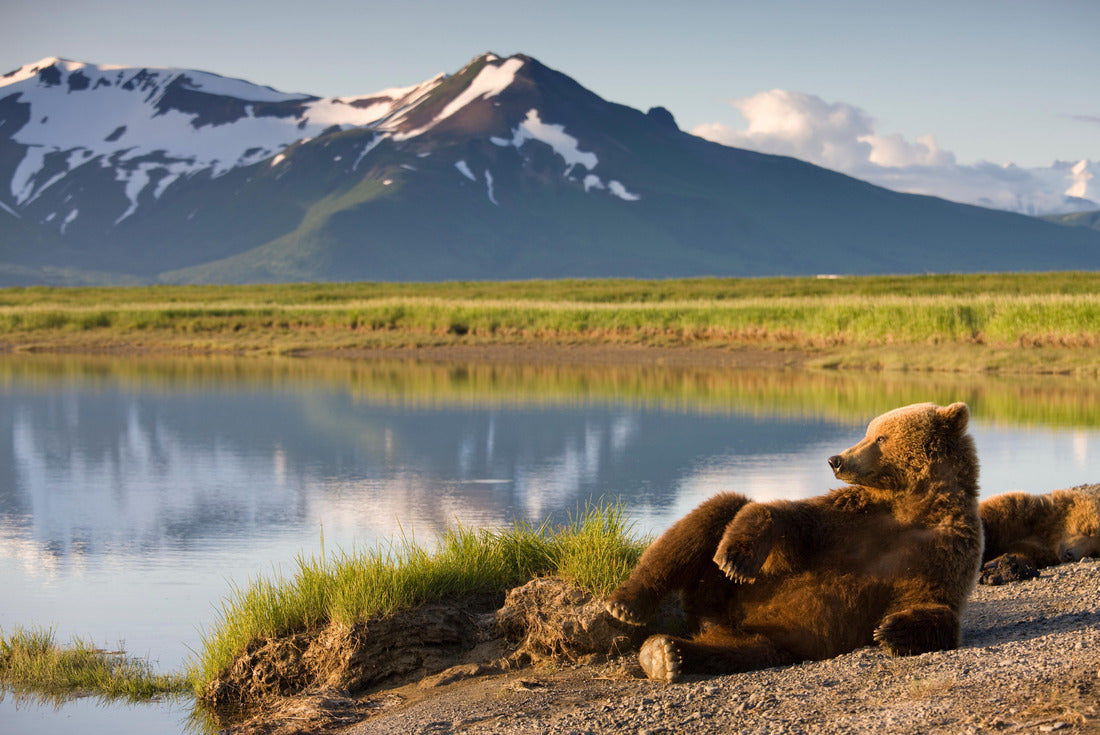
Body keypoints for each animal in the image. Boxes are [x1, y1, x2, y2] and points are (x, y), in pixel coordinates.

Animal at [605, 402, 983, 682]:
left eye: (880, 438)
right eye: (869, 432)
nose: (836, 460)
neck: (911, 505)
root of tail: (715, 619)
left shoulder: (944, 547)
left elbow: (935, 603)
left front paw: (892, 630)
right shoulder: (851, 519)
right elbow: (790, 520)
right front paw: (736, 559)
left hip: (768, 636)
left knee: (737, 651)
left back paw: (666, 654)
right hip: (720, 588)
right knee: (717, 510)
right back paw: (627, 605)